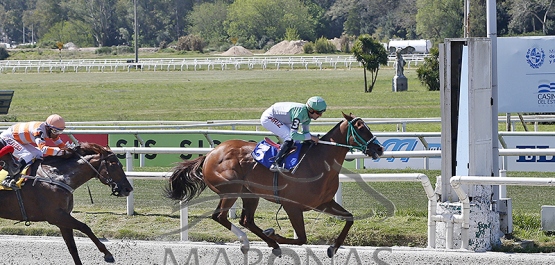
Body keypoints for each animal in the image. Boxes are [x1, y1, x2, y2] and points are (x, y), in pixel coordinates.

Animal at [0, 142, 134, 264]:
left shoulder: (63, 219)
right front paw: (107, 254)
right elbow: (84, 227)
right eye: (114, 165)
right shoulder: (56, 216)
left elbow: (72, 248)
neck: (57, 177)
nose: (128, 188)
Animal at [165, 112, 382, 256]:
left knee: (246, 220)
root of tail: (210, 154)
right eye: (361, 128)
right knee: (220, 216)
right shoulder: (292, 206)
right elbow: (301, 239)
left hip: (249, 193)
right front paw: (274, 233)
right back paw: (250, 242)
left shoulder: (323, 203)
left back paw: (269, 243)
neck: (318, 162)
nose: (379, 148)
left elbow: (349, 218)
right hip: (230, 190)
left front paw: (333, 248)